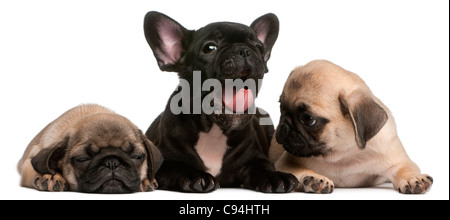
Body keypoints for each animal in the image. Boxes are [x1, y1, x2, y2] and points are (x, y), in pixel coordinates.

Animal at [19, 104, 163, 192]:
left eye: (136, 156)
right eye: (82, 159)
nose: (112, 162)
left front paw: (146, 180)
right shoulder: (29, 161)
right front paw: (50, 175)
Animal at [144, 11, 298, 192]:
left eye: (259, 47)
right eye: (209, 48)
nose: (244, 50)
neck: (213, 131)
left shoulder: (255, 157)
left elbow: (263, 166)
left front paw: (275, 177)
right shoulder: (162, 162)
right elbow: (178, 166)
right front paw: (196, 176)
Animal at [268, 60, 434, 194]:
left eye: (308, 119)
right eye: (281, 107)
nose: (284, 126)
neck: (342, 154)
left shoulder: (398, 161)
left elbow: (405, 169)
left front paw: (413, 179)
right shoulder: (286, 163)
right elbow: (299, 170)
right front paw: (314, 178)